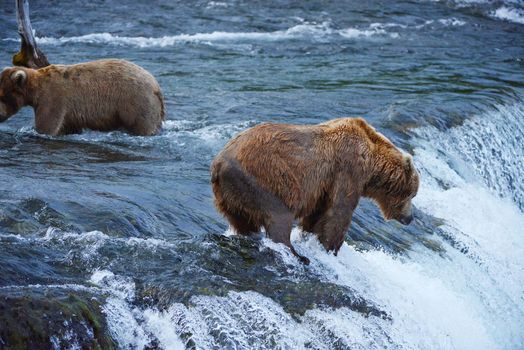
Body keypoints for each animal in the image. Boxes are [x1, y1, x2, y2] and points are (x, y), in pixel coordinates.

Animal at [0, 58, 164, 135]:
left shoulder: (53, 99)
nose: (0, 116)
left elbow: (47, 126)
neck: (36, 90)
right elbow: (68, 127)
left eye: (1, 95)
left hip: (136, 101)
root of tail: (156, 85)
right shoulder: (69, 112)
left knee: (142, 124)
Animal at [211, 117, 420, 262]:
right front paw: (331, 248)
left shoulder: (323, 187)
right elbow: (339, 212)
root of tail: (218, 163)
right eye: (412, 194)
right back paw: (298, 255)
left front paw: (311, 237)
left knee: (242, 221)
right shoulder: (349, 169)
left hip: (230, 194)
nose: (410, 218)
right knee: (278, 217)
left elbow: (318, 213)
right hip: (265, 179)